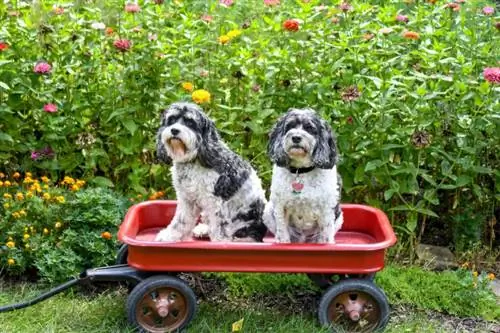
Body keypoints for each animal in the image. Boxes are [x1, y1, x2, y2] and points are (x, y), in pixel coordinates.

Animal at [155, 101, 268, 241]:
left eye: (190, 122)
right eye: (172, 120)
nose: (174, 130)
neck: (193, 160)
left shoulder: (216, 202)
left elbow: (219, 229)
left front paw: (220, 242)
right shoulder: (186, 199)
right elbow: (180, 221)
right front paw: (169, 236)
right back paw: (203, 229)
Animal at [264, 107, 342, 243]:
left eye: (309, 128)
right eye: (290, 126)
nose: (296, 137)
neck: (300, 171)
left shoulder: (327, 208)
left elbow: (326, 236)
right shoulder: (280, 206)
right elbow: (282, 233)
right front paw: (283, 242)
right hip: (268, 211)